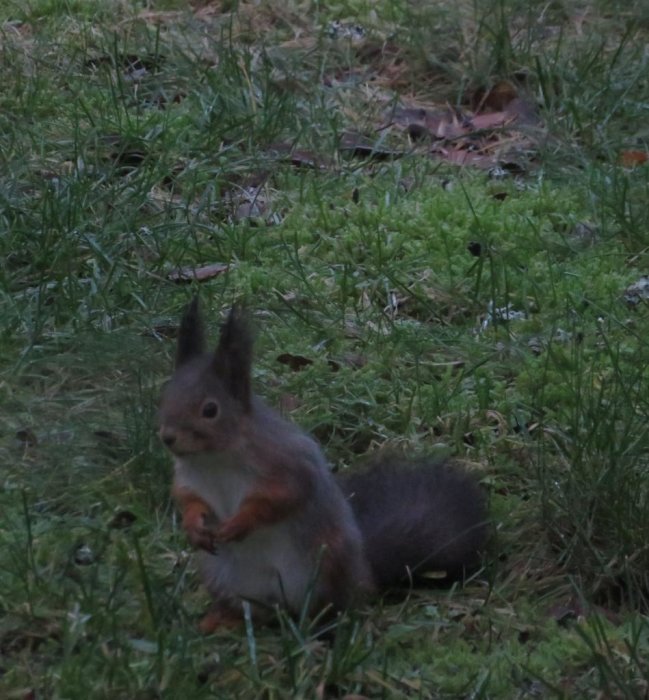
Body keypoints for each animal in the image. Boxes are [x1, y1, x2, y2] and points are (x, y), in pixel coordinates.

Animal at [158, 300, 486, 636]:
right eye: (165, 396)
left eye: (210, 410)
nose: (167, 437)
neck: (215, 458)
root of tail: (364, 573)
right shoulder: (190, 478)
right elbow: (187, 498)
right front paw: (193, 524)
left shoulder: (284, 465)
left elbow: (278, 499)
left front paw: (237, 524)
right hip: (224, 576)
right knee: (254, 611)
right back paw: (221, 619)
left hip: (325, 565)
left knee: (325, 608)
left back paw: (320, 626)